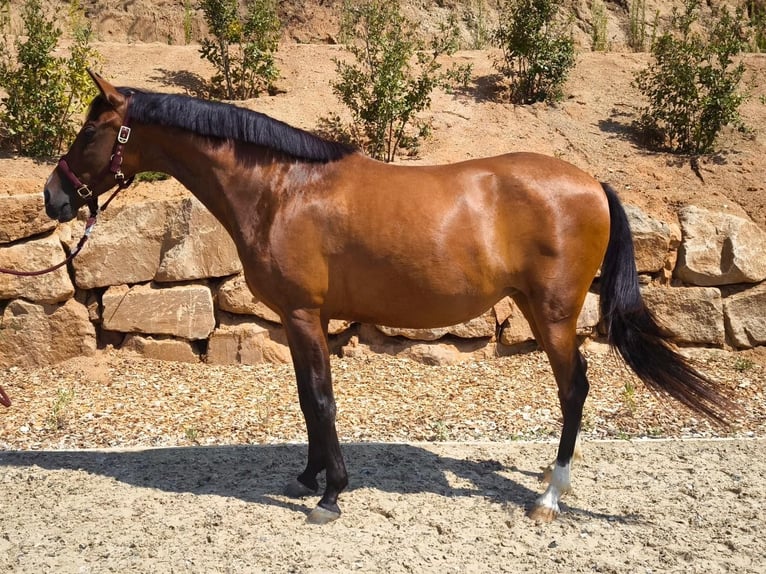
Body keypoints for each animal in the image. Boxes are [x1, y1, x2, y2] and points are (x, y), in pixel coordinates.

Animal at [43, 71, 734, 524]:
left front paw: (331, 496)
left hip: (554, 315)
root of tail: (591, 182)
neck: (283, 188)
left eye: (90, 134)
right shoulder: (304, 318)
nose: (53, 197)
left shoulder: (302, 314)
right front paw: (309, 478)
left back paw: (548, 497)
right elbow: (307, 400)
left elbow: (321, 400)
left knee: (574, 390)